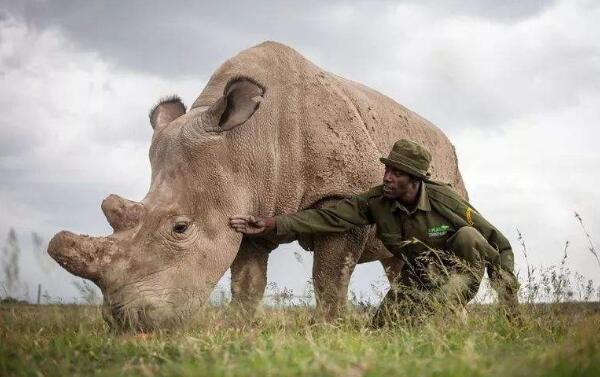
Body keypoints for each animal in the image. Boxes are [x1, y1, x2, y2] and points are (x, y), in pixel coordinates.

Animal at [48, 41, 468, 328]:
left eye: (180, 228)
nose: (125, 321)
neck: (247, 140)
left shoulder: (343, 195)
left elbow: (330, 276)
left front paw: (329, 328)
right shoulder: (247, 200)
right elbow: (247, 281)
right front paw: (239, 327)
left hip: (449, 169)